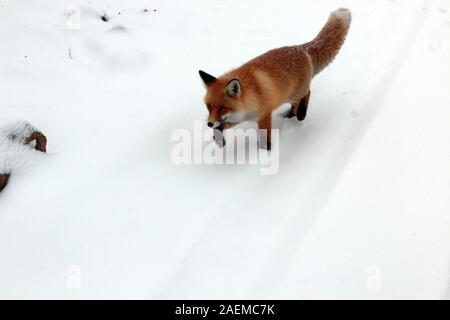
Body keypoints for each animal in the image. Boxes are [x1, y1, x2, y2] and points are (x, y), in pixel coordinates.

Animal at [200, 7, 352, 150]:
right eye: (209, 106)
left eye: (223, 108)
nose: (209, 123)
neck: (249, 96)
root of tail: (301, 48)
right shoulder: (238, 116)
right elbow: (219, 127)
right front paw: (218, 139)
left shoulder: (263, 115)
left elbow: (264, 138)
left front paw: (264, 152)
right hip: (287, 94)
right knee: (296, 102)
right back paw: (290, 115)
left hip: (293, 93)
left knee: (307, 93)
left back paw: (301, 114)